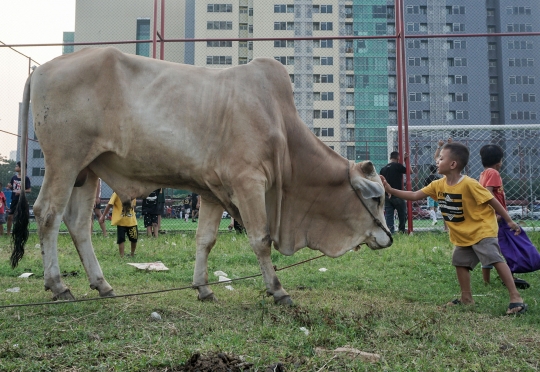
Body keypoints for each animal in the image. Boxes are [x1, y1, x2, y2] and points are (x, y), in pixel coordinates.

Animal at [12, 47, 392, 306]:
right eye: (376, 197)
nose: (388, 238)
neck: (281, 128)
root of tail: (41, 69)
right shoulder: (248, 182)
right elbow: (261, 239)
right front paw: (278, 290)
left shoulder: (211, 191)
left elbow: (205, 240)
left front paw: (203, 287)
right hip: (64, 161)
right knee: (47, 214)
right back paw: (59, 285)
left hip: (87, 170)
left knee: (78, 224)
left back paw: (102, 284)